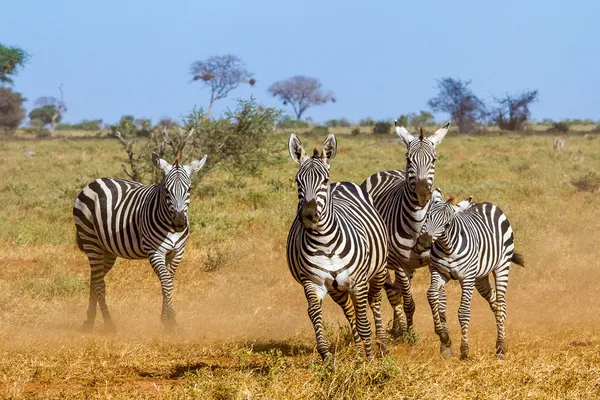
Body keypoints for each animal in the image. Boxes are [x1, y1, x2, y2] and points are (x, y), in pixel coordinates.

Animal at [72, 153, 207, 334]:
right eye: (166, 190)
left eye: (189, 189)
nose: (179, 222)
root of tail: (94, 182)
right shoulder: (155, 252)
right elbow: (165, 281)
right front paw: (172, 322)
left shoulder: (177, 252)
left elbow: (168, 282)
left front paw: (165, 320)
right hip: (91, 241)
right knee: (99, 283)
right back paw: (109, 324)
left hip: (106, 250)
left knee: (95, 279)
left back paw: (89, 321)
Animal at [286, 134, 390, 360]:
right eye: (298, 181)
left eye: (324, 181)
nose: (308, 216)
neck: (325, 243)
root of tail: (341, 183)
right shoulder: (313, 282)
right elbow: (315, 314)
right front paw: (326, 356)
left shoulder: (358, 282)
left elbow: (364, 321)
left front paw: (370, 360)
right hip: (336, 289)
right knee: (349, 311)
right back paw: (359, 352)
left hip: (378, 271)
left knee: (375, 303)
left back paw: (382, 346)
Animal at [360, 119, 450, 338]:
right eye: (409, 160)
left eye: (434, 160)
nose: (423, 194)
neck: (418, 225)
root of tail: (385, 171)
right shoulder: (400, 264)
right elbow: (408, 302)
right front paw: (409, 335)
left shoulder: (435, 262)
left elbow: (438, 298)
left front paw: (442, 329)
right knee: (395, 294)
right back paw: (399, 329)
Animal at [412, 189, 524, 360]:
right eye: (428, 216)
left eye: (447, 224)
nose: (423, 244)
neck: (448, 248)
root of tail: (488, 204)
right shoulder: (439, 272)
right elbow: (432, 296)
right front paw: (444, 336)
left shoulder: (467, 278)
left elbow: (463, 312)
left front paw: (464, 350)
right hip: (480, 278)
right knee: (494, 303)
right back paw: (500, 342)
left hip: (501, 266)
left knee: (501, 304)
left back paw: (500, 348)